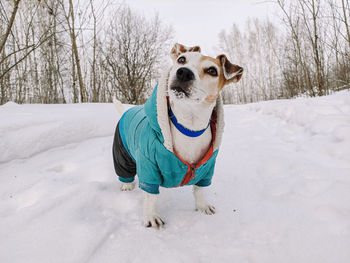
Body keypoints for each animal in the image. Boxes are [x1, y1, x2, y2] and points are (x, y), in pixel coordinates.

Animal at [113, 43, 243, 229]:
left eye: (212, 70)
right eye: (182, 60)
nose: (184, 72)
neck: (188, 127)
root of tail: (128, 110)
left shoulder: (207, 168)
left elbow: (199, 189)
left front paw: (202, 206)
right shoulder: (148, 165)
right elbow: (150, 195)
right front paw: (151, 216)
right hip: (121, 152)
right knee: (125, 171)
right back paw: (127, 184)